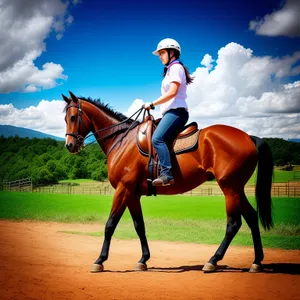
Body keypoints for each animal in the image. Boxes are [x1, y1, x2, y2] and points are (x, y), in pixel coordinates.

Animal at [63, 91, 274, 274]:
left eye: (72, 118)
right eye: (65, 119)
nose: (69, 145)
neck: (122, 140)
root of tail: (248, 137)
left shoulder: (123, 189)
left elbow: (110, 224)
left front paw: (100, 260)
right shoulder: (133, 194)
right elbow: (139, 226)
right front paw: (143, 260)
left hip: (229, 189)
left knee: (233, 224)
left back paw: (213, 261)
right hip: (237, 189)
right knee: (252, 217)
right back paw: (256, 261)